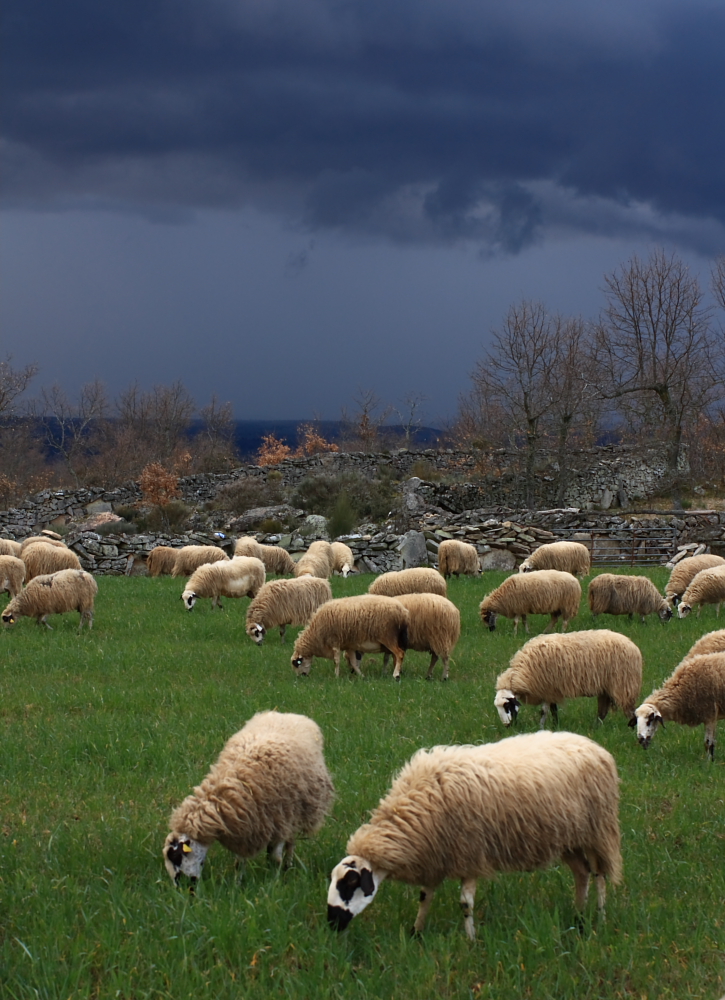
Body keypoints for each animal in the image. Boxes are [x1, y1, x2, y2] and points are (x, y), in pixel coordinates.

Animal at [164, 708, 334, 888]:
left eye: (177, 858)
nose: (183, 890)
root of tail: (286, 713)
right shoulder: (245, 825)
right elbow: (240, 862)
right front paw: (237, 885)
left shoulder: (279, 819)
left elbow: (275, 859)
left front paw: (273, 883)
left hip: (296, 811)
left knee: (290, 842)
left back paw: (288, 865)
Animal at [328, 728, 616, 936]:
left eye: (350, 883)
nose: (331, 925)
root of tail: (596, 747)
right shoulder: (437, 854)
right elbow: (424, 896)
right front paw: (416, 932)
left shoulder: (469, 854)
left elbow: (465, 904)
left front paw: (471, 940)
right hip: (569, 838)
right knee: (582, 872)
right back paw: (579, 917)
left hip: (598, 830)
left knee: (599, 873)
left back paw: (600, 918)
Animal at [494, 632, 640, 728]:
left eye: (507, 706)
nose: (507, 726)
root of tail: (633, 645)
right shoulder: (549, 690)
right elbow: (551, 710)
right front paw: (551, 726)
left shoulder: (549, 689)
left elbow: (546, 711)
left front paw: (544, 727)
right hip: (605, 688)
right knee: (602, 711)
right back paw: (595, 728)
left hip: (623, 685)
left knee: (631, 712)